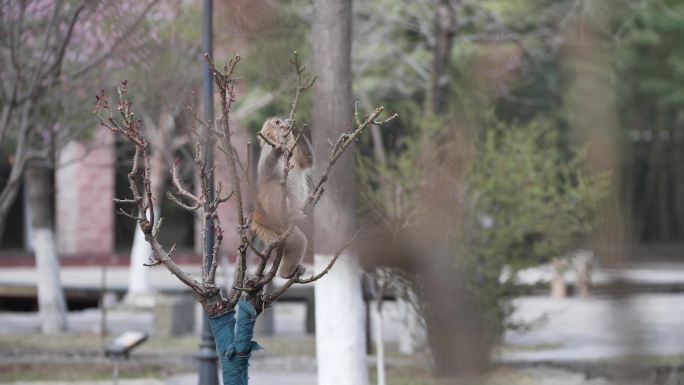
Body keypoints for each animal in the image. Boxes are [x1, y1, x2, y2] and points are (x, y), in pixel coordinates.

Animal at [252, 116, 314, 276]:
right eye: (274, 122)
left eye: (278, 120)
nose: (279, 121)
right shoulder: (267, 149)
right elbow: (264, 175)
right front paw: (278, 150)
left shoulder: (293, 150)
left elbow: (307, 160)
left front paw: (295, 127)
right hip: (271, 219)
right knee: (273, 186)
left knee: (298, 242)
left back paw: (287, 273)